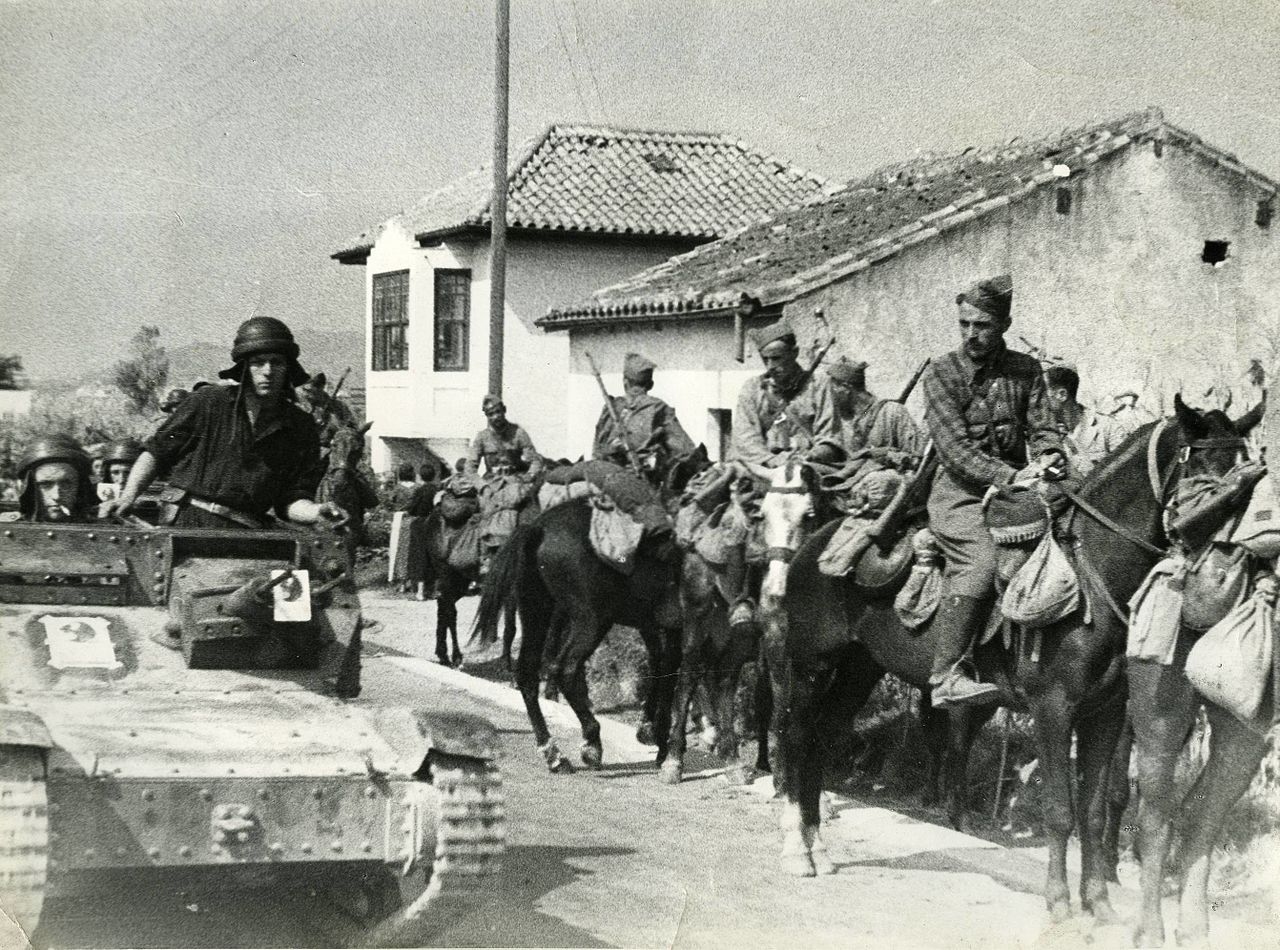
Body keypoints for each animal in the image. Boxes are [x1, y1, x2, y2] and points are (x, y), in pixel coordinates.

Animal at [768, 396, 1249, 932]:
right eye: (1203, 471)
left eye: (1245, 481)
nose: (1218, 577)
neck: (1091, 570)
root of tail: (814, 545)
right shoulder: (1053, 708)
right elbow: (1061, 811)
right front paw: (1060, 904)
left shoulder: (1105, 713)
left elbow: (1094, 813)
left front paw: (1099, 905)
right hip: (811, 665)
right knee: (798, 737)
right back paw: (797, 851)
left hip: (859, 669)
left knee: (822, 738)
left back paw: (819, 848)